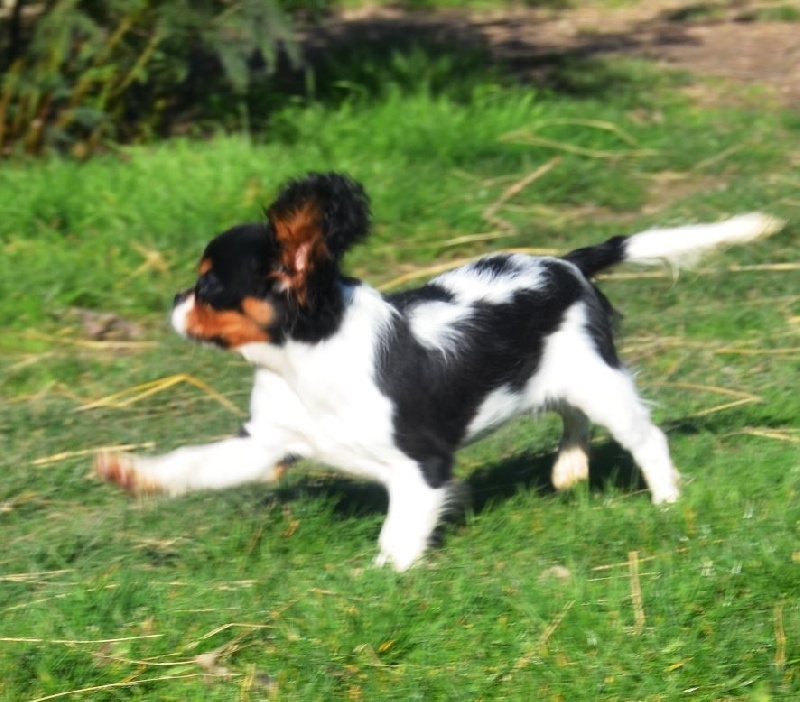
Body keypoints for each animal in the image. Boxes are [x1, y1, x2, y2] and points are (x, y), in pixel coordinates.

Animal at [94, 175, 780, 572]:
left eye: (211, 286)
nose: (175, 301)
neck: (303, 361)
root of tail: (566, 262)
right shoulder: (267, 443)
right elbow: (196, 464)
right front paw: (131, 473)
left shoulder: (421, 466)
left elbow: (398, 534)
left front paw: (382, 579)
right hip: (560, 375)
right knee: (568, 412)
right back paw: (569, 467)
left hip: (598, 378)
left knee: (643, 436)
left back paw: (666, 501)